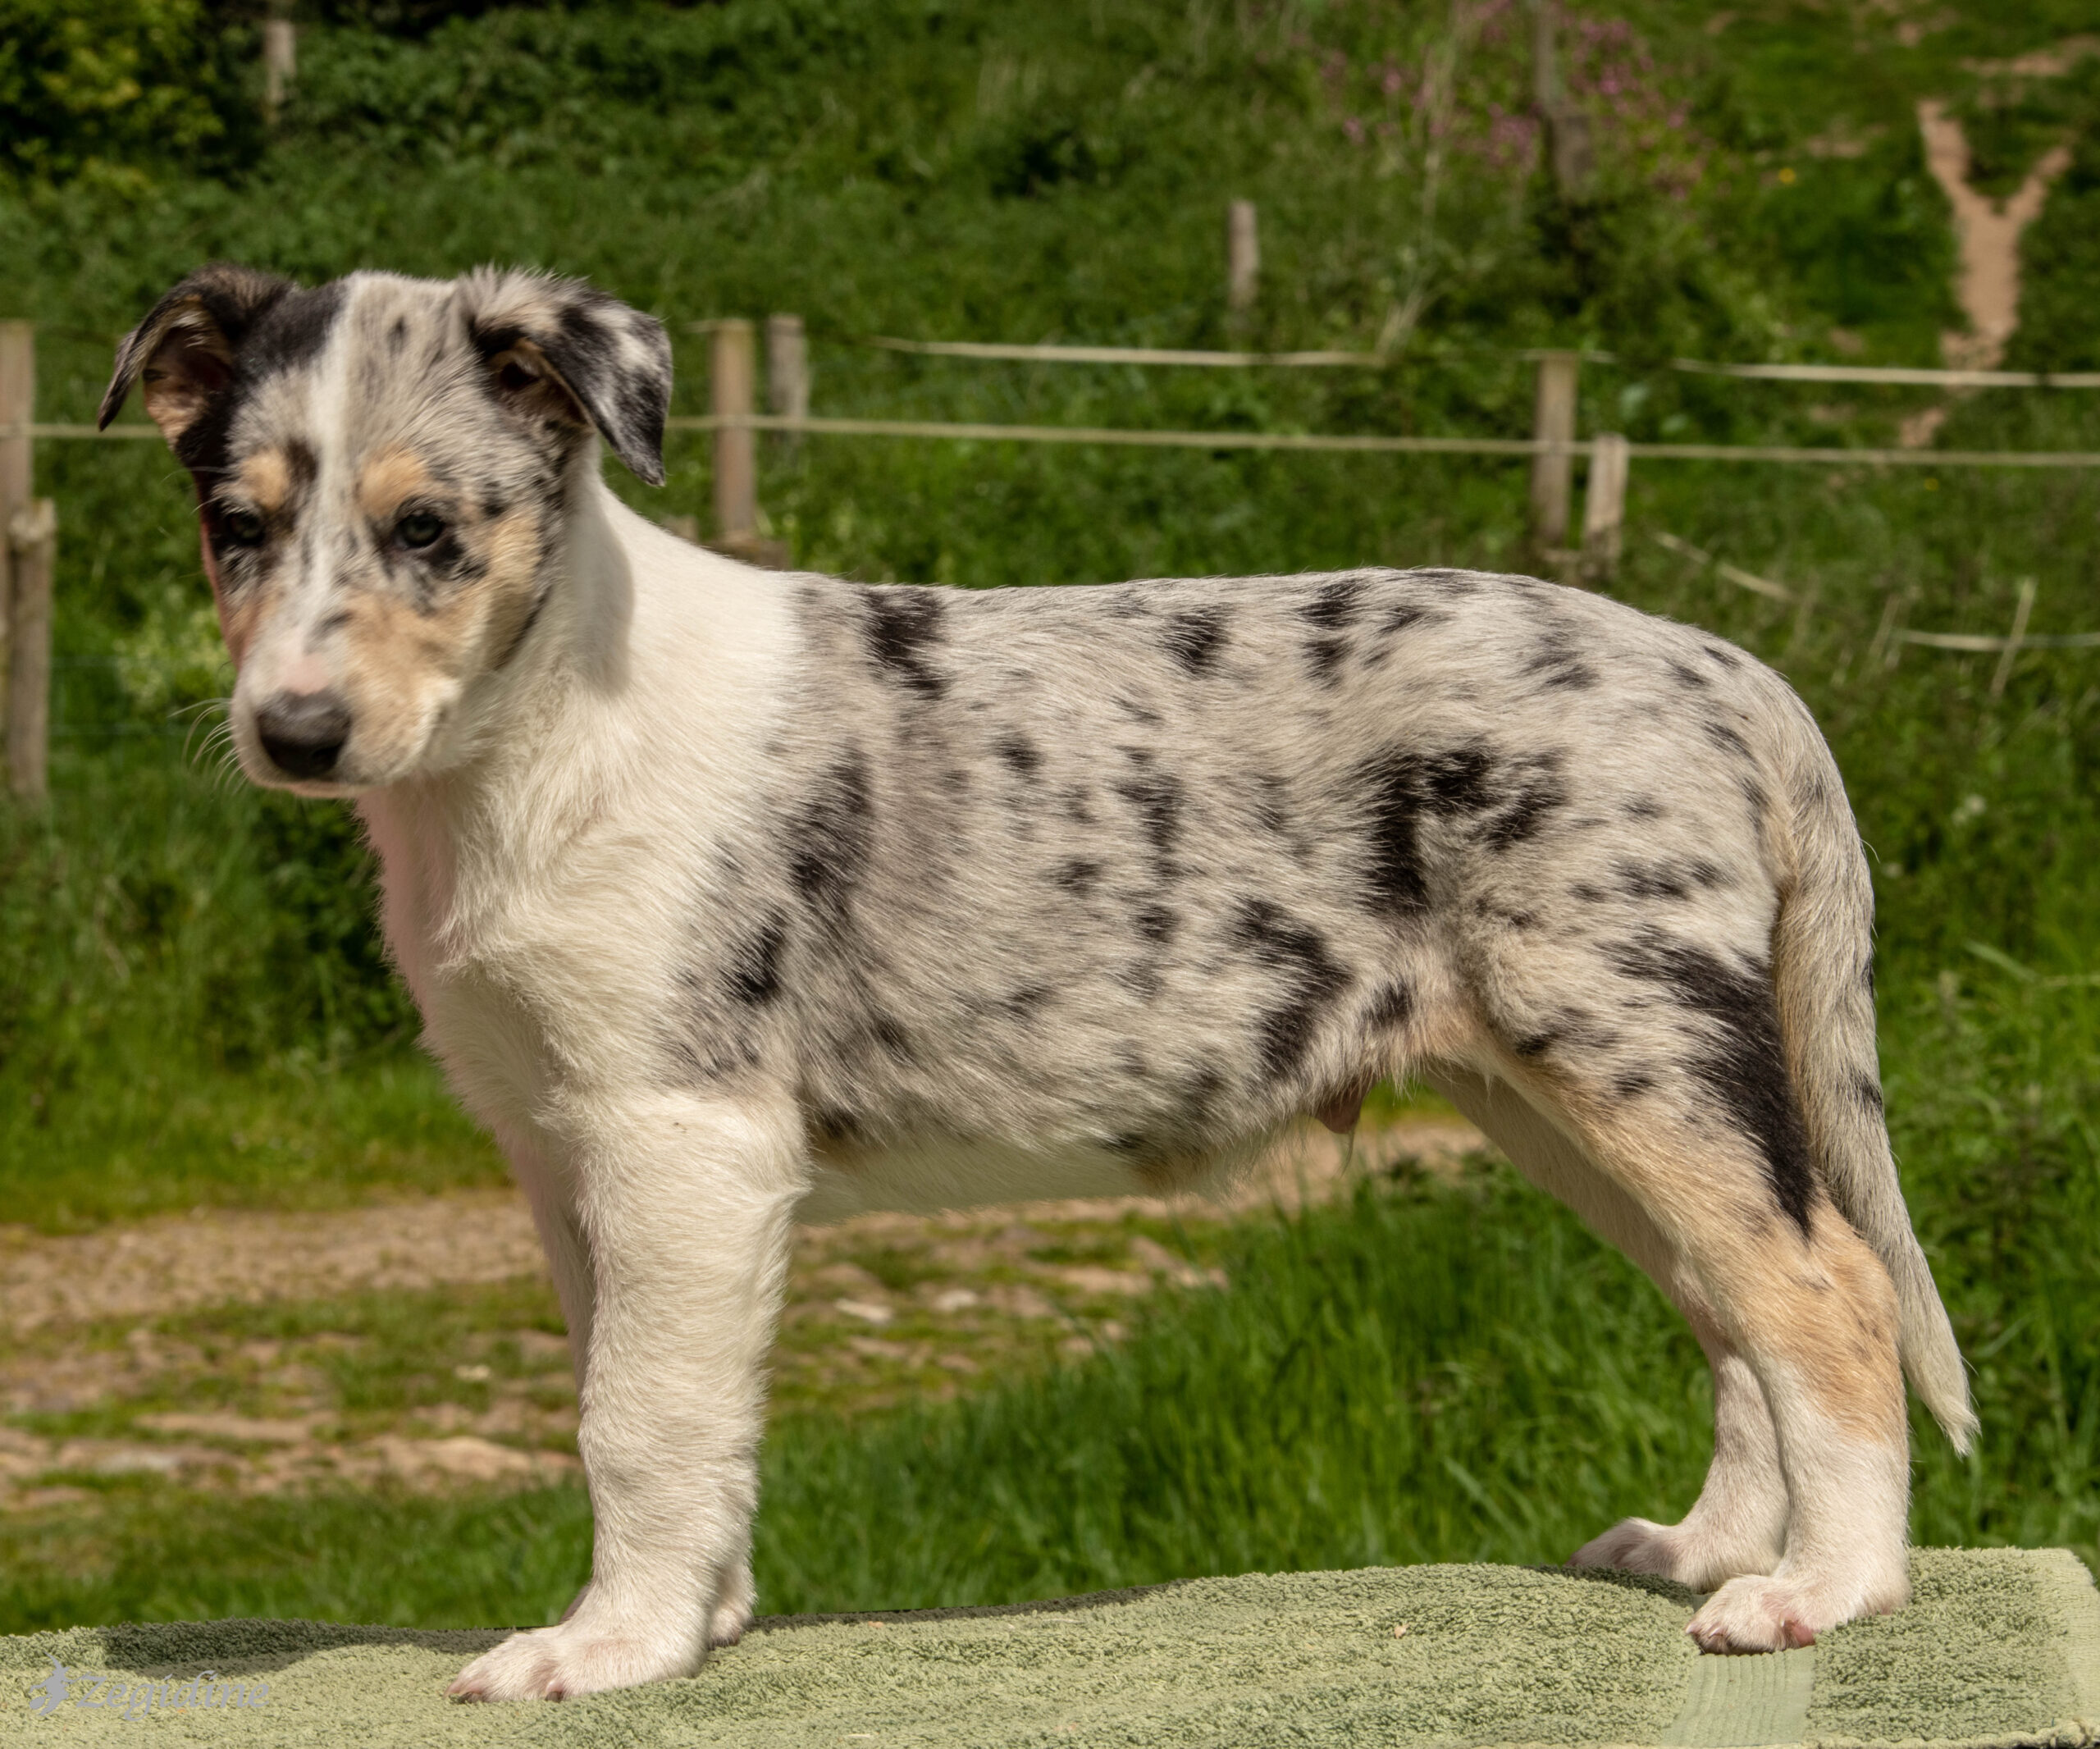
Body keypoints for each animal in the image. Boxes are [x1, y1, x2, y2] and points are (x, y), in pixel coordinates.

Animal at [98, 267, 1965, 1696]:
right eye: (235, 525)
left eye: (427, 527)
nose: (292, 733)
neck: (529, 729)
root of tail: (1724, 667)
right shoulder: (566, 1152)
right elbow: (646, 1398)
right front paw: (700, 1614)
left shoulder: (677, 1133)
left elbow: (636, 1414)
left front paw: (609, 1650)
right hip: (1553, 1089)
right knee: (1734, 1300)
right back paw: (1709, 1543)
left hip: (1626, 1035)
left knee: (1822, 1286)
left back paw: (1824, 1589)